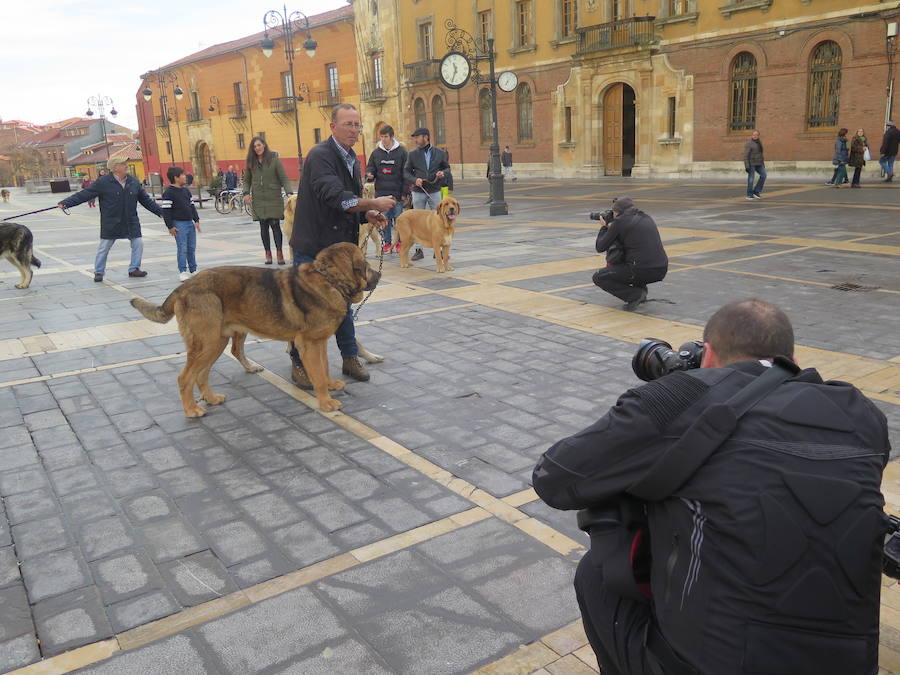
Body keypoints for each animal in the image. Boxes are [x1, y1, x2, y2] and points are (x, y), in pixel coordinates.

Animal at [130, 238, 380, 418]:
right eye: (363, 264)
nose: (379, 274)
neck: (330, 280)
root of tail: (183, 288)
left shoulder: (319, 343)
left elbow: (324, 367)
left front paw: (330, 386)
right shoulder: (308, 344)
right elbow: (317, 374)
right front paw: (326, 402)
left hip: (216, 342)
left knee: (201, 375)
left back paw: (211, 399)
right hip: (206, 343)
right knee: (185, 378)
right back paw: (191, 410)